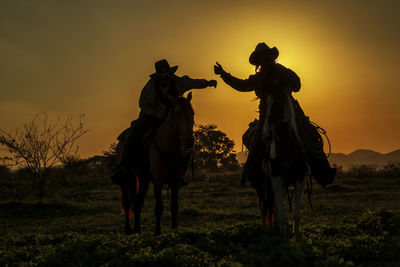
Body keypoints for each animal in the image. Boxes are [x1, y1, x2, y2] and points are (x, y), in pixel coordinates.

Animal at [121, 93, 195, 236]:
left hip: (142, 179)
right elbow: (159, 207)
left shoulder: (175, 181)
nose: (190, 140)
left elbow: (174, 206)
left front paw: (174, 229)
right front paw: (157, 232)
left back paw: (137, 230)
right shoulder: (158, 181)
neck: (168, 148)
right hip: (126, 179)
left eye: (192, 113)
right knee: (127, 203)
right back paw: (128, 229)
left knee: (137, 202)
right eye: (177, 114)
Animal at [253, 91, 306, 237]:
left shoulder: (300, 178)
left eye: (278, 104)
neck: (288, 148)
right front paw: (284, 235)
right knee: (264, 205)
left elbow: (296, 213)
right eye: (261, 107)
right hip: (263, 181)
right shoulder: (275, 177)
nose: (266, 135)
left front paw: (296, 235)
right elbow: (282, 213)